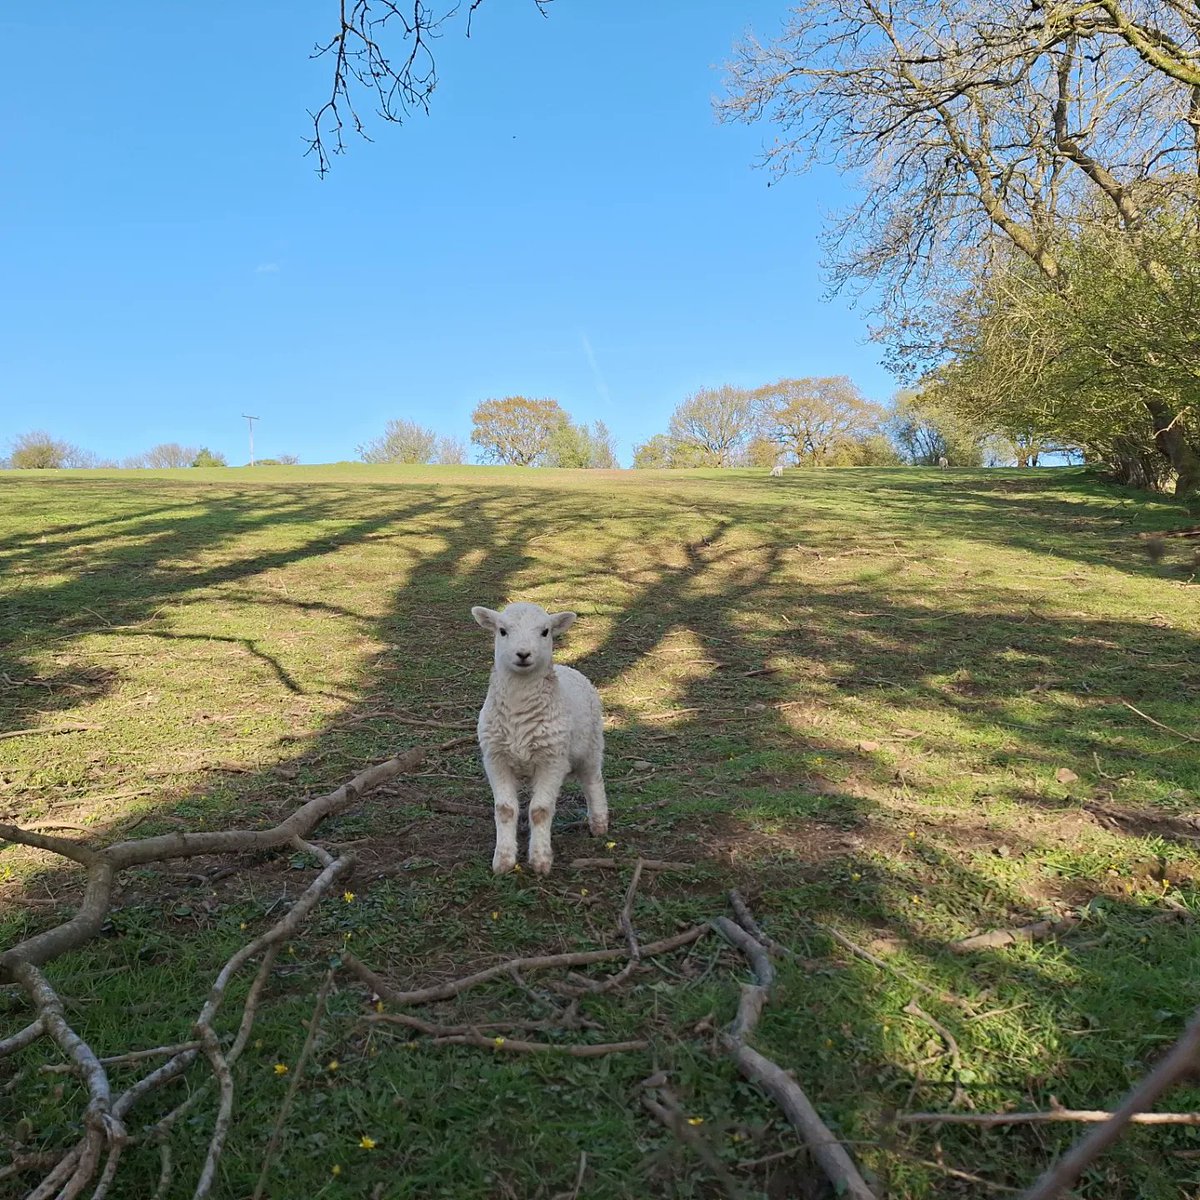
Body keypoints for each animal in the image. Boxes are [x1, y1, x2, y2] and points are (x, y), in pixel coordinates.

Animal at [463, 604, 604, 878]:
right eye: (502, 630)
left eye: (545, 631)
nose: (523, 654)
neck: (519, 712)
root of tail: (568, 668)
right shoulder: (495, 758)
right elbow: (505, 809)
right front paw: (503, 860)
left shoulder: (552, 759)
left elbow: (540, 811)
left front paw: (540, 861)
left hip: (590, 745)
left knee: (594, 781)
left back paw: (600, 823)